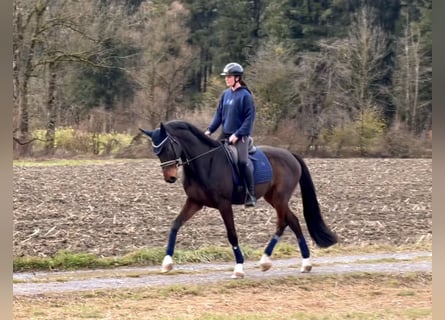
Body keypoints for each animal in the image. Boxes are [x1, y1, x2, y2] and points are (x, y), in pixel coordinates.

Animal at [140, 120, 336, 278]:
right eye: (156, 151)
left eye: (167, 147)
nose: (170, 177)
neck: (205, 162)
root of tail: (290, 154)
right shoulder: (195, 202)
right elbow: (175, 225)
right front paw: (167, 262)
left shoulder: (224, 204)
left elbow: (232, 234)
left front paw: (239, 268)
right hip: (273, 198)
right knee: (291, 221)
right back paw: (288, 262)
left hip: (280, 198)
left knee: (285, 222)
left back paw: (288, 261)